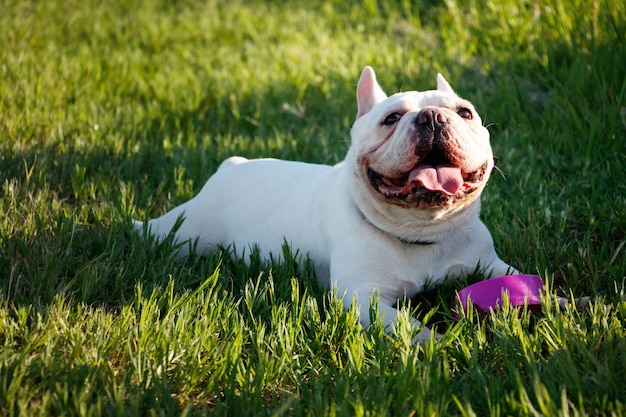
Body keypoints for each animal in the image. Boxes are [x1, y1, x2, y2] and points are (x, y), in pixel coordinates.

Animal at [136, 66, 516, 340]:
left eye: (465, 113)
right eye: (391, 118)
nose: (432, 116)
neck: (423, 233)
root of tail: (230, 166)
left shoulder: (489, 264)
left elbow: (519, 277)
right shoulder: (361, 298)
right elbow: (408, 326)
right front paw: (439, 344)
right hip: (184, 232)